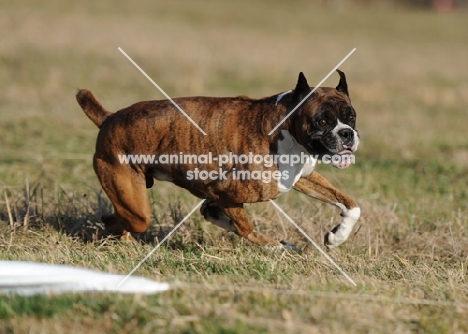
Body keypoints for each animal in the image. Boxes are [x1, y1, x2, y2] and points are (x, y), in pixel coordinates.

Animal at [77, 70, 362, 250]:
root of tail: (109, 118)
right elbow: (246, 227)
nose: (347, 134)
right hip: (135, 206)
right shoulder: (222, 189)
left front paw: (337, 237)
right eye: (321, 121)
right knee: (117, 221)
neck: (284, 125)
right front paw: (276, 247)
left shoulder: (303, 177)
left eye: (352, 117)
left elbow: (352, 205)